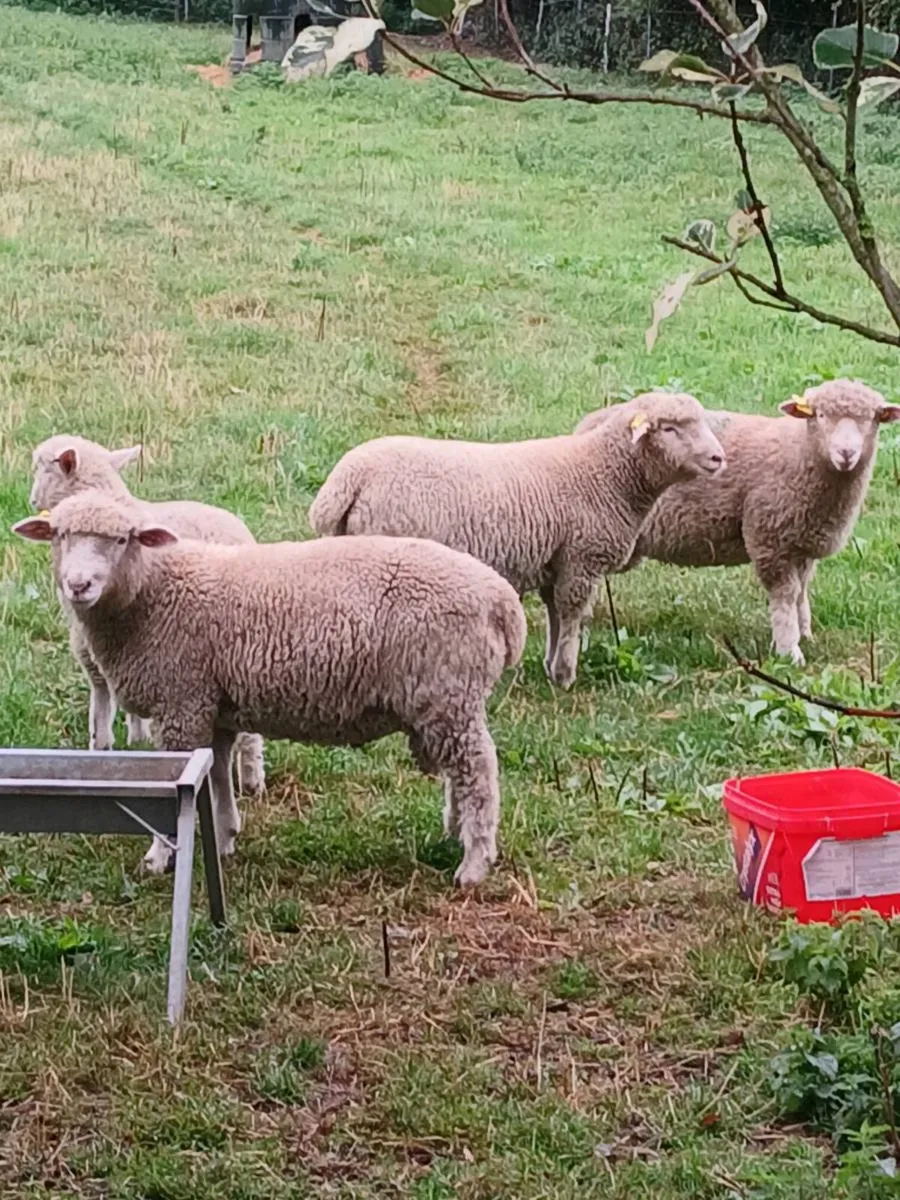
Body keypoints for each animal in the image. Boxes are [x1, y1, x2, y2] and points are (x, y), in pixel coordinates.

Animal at [13, 491, 527, 887]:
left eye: (122, 539)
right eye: (59, 535)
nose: (78, 584)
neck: (153, 593)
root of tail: (502, 602)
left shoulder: (181, 701)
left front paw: (161, 856)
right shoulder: (212, 705)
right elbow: (217, 775)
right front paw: (224, 836)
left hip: (448, 691)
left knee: (478, 772)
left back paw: (474, 862)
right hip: (445, 701)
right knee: (460, 772)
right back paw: (454, 834)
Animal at [29, 434, 266, 808]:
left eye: (41, 468)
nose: (32, 500)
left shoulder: (96, 645)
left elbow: (100, 708)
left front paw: (103, 749)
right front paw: (135, 737)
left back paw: (253, 778)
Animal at [308, 392, 725, 689]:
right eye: (670, 428)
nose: (718, 459)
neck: (605, 472)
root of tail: (349, 477)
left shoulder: (556, 560)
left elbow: (556, 612)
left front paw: (551, 666)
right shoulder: (582, 558)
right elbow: (572, 614)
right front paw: (566, 675)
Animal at [574, 380, 900, 666]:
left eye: (871, 419)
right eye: (820, 415)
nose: (846, 453)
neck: (799, 452)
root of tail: (588, 425)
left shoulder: (801, 544)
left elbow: (801, 593)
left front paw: (805, 633)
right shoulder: (770, 540)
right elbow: (785, 596)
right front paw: (789, 651)